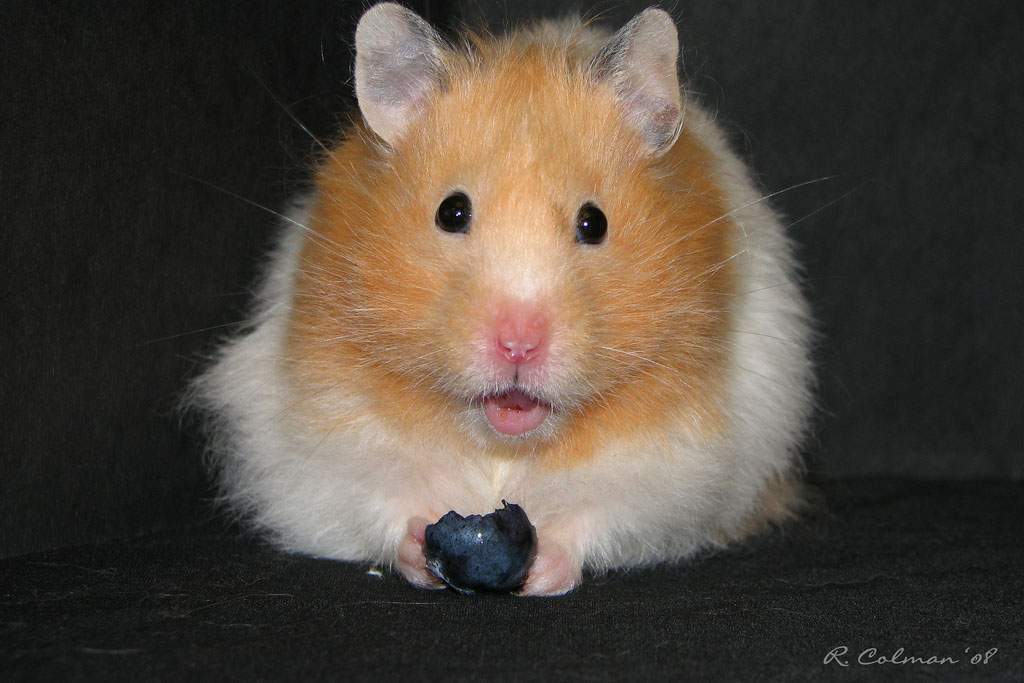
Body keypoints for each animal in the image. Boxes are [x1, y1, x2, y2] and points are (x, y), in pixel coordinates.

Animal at [192, 2, 815, 593]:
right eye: (451, 212)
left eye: (594, 223)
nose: (518, 346)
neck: (504, 445)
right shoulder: (317, 444)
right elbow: (379, 500)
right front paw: (422, 547)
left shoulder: (682, 464)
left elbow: (602, 515)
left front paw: (543, 568)